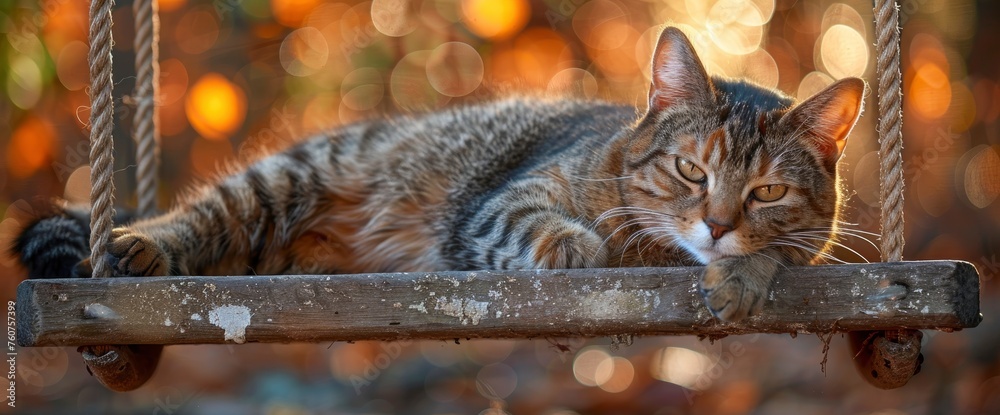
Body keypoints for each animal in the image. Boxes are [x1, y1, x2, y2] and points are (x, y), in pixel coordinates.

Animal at [11, 28, 864, 322]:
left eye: (766, 191)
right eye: (691, 170)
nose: (715, 224)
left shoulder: (807, 246)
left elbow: (783, 253)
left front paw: (743, 271)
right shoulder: (497, 207)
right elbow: (559, 232)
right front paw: (590, 244)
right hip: (282, 181)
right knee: (196, 217)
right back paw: (136, 243)